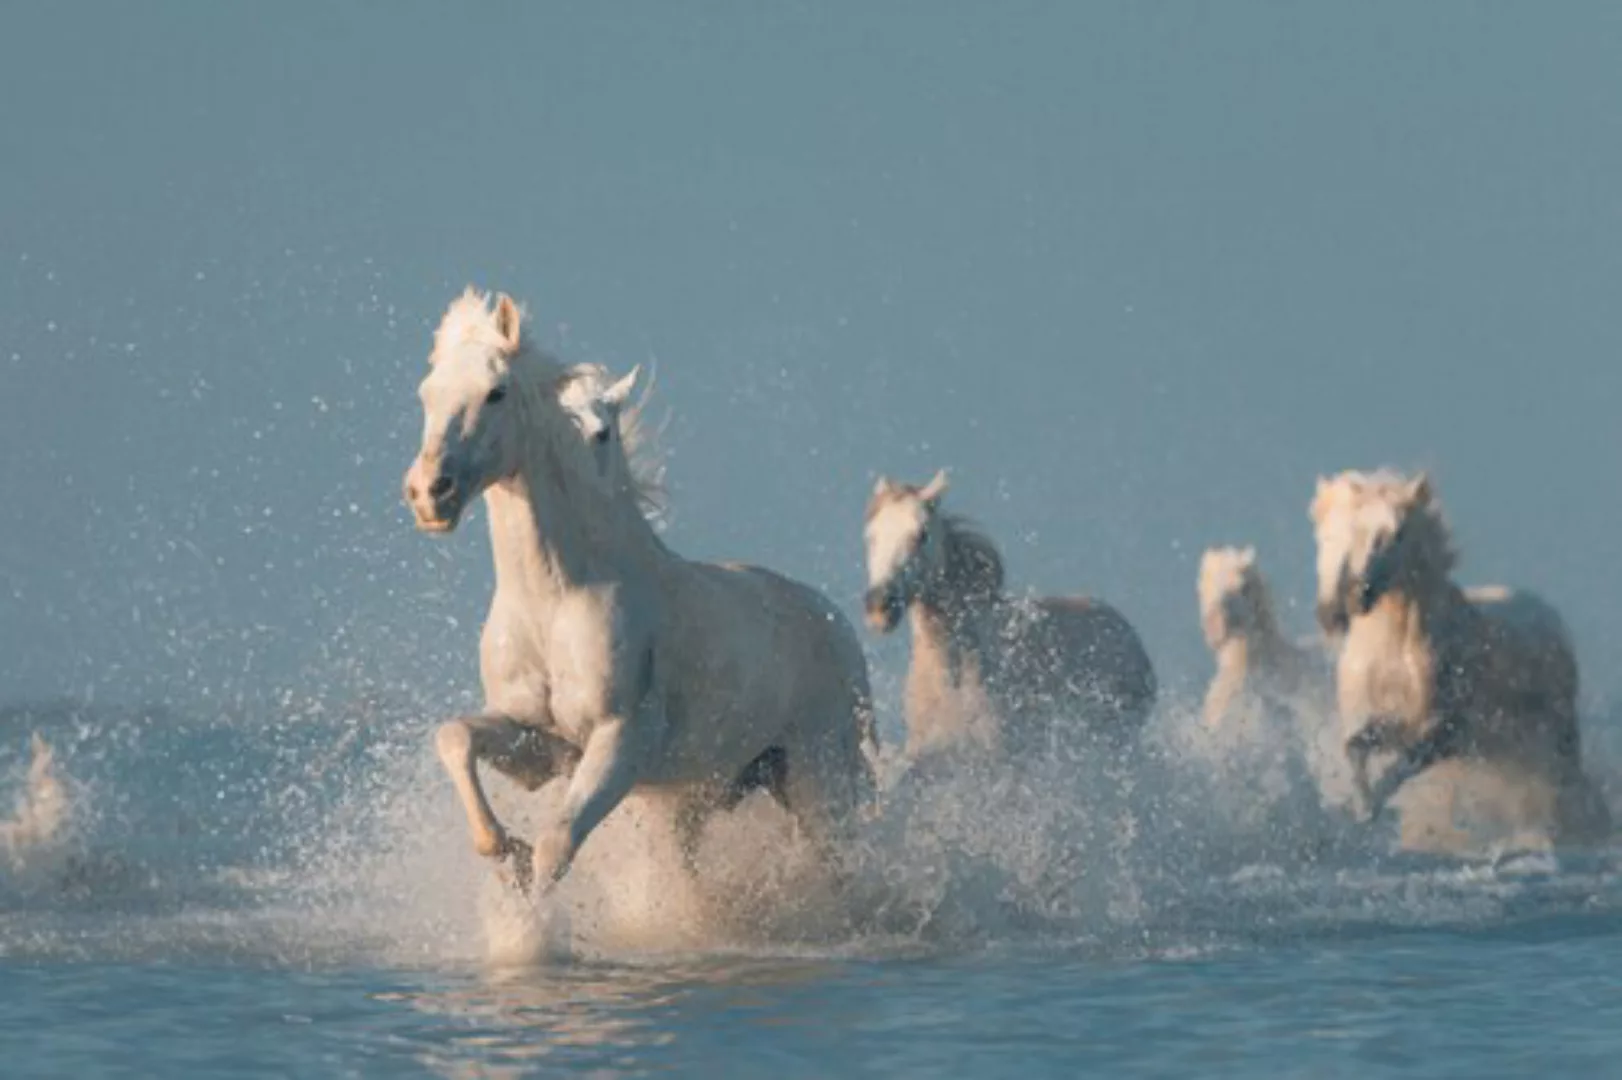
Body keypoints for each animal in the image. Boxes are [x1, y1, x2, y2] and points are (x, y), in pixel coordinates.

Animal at [405, 288, 888, 901]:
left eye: (496, 392)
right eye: (427, 393)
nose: (429, 494)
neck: (555, 600)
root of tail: (837, 625)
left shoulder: (619, 742)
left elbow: (556, 845)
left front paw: (530, 906)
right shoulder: (541, 743)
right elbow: (456, 737)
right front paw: (502, 850)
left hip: (817, 774)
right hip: (705, 793)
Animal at [1304, 463, 1609, 843]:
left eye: (1396, 534)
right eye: (1327, 536)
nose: (1338, 609)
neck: (1391, 650)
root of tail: (1548, 613)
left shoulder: (1445, 731)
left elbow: (1406, 761)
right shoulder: (1375, 718)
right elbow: (1356, 747)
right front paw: (1364, 809)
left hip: (1557, 738)